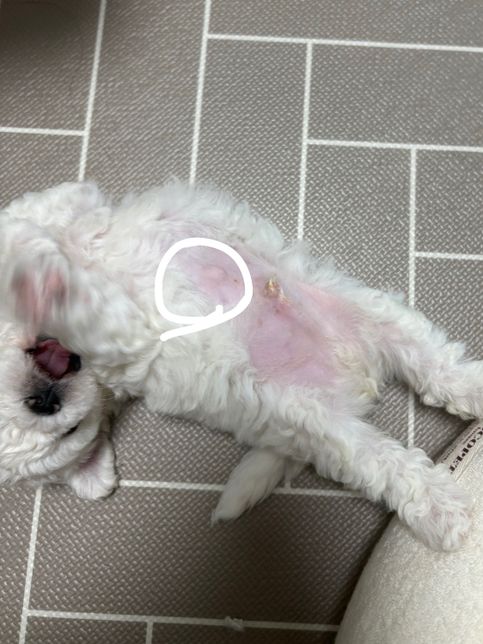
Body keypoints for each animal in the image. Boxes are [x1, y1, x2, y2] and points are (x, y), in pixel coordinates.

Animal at [0, 181, 480, 551]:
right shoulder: (125, 339)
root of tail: (358, 383)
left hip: (373, 314)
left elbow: (38, 213)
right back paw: (445, 511)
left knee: (438, 365)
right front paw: (48, 281)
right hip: (313, 419)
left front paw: (34, 263)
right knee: (383, 461)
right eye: (67, 434)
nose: (43, 399)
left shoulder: (69, 213)